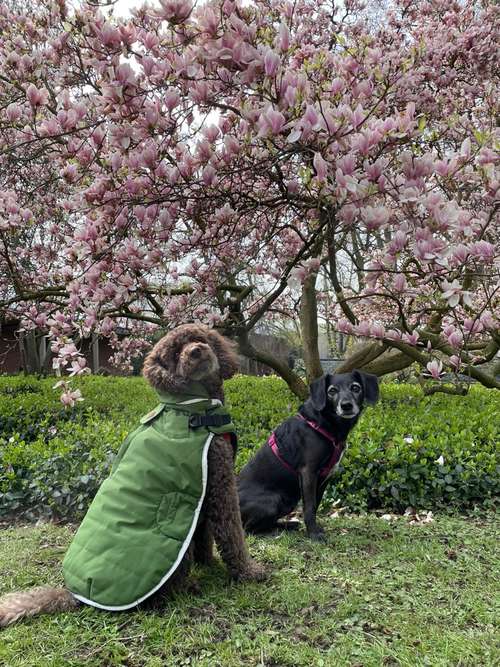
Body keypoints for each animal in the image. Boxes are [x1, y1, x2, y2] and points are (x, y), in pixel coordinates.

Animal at [0, 324, 268, 628]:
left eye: (200, 338)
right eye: (174, 353)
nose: (196, 351)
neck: (192, 409)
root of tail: (78, 595)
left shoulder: (204, 490)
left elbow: (204, 535)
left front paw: (209, 563)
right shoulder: (221, 483)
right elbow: (232, 535)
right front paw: (249, 572)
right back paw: (189, 587)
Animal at [238, 374, 378, 540]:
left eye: (356, 388)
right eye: (332, 391)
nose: (346, 406)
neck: (322, 423)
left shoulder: (326, 476)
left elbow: (315, 504)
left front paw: (313, 528)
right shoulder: (308, 472)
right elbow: (310, 507)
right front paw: (314, 534)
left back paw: (288, 525)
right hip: (274, 500)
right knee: (247, 529)